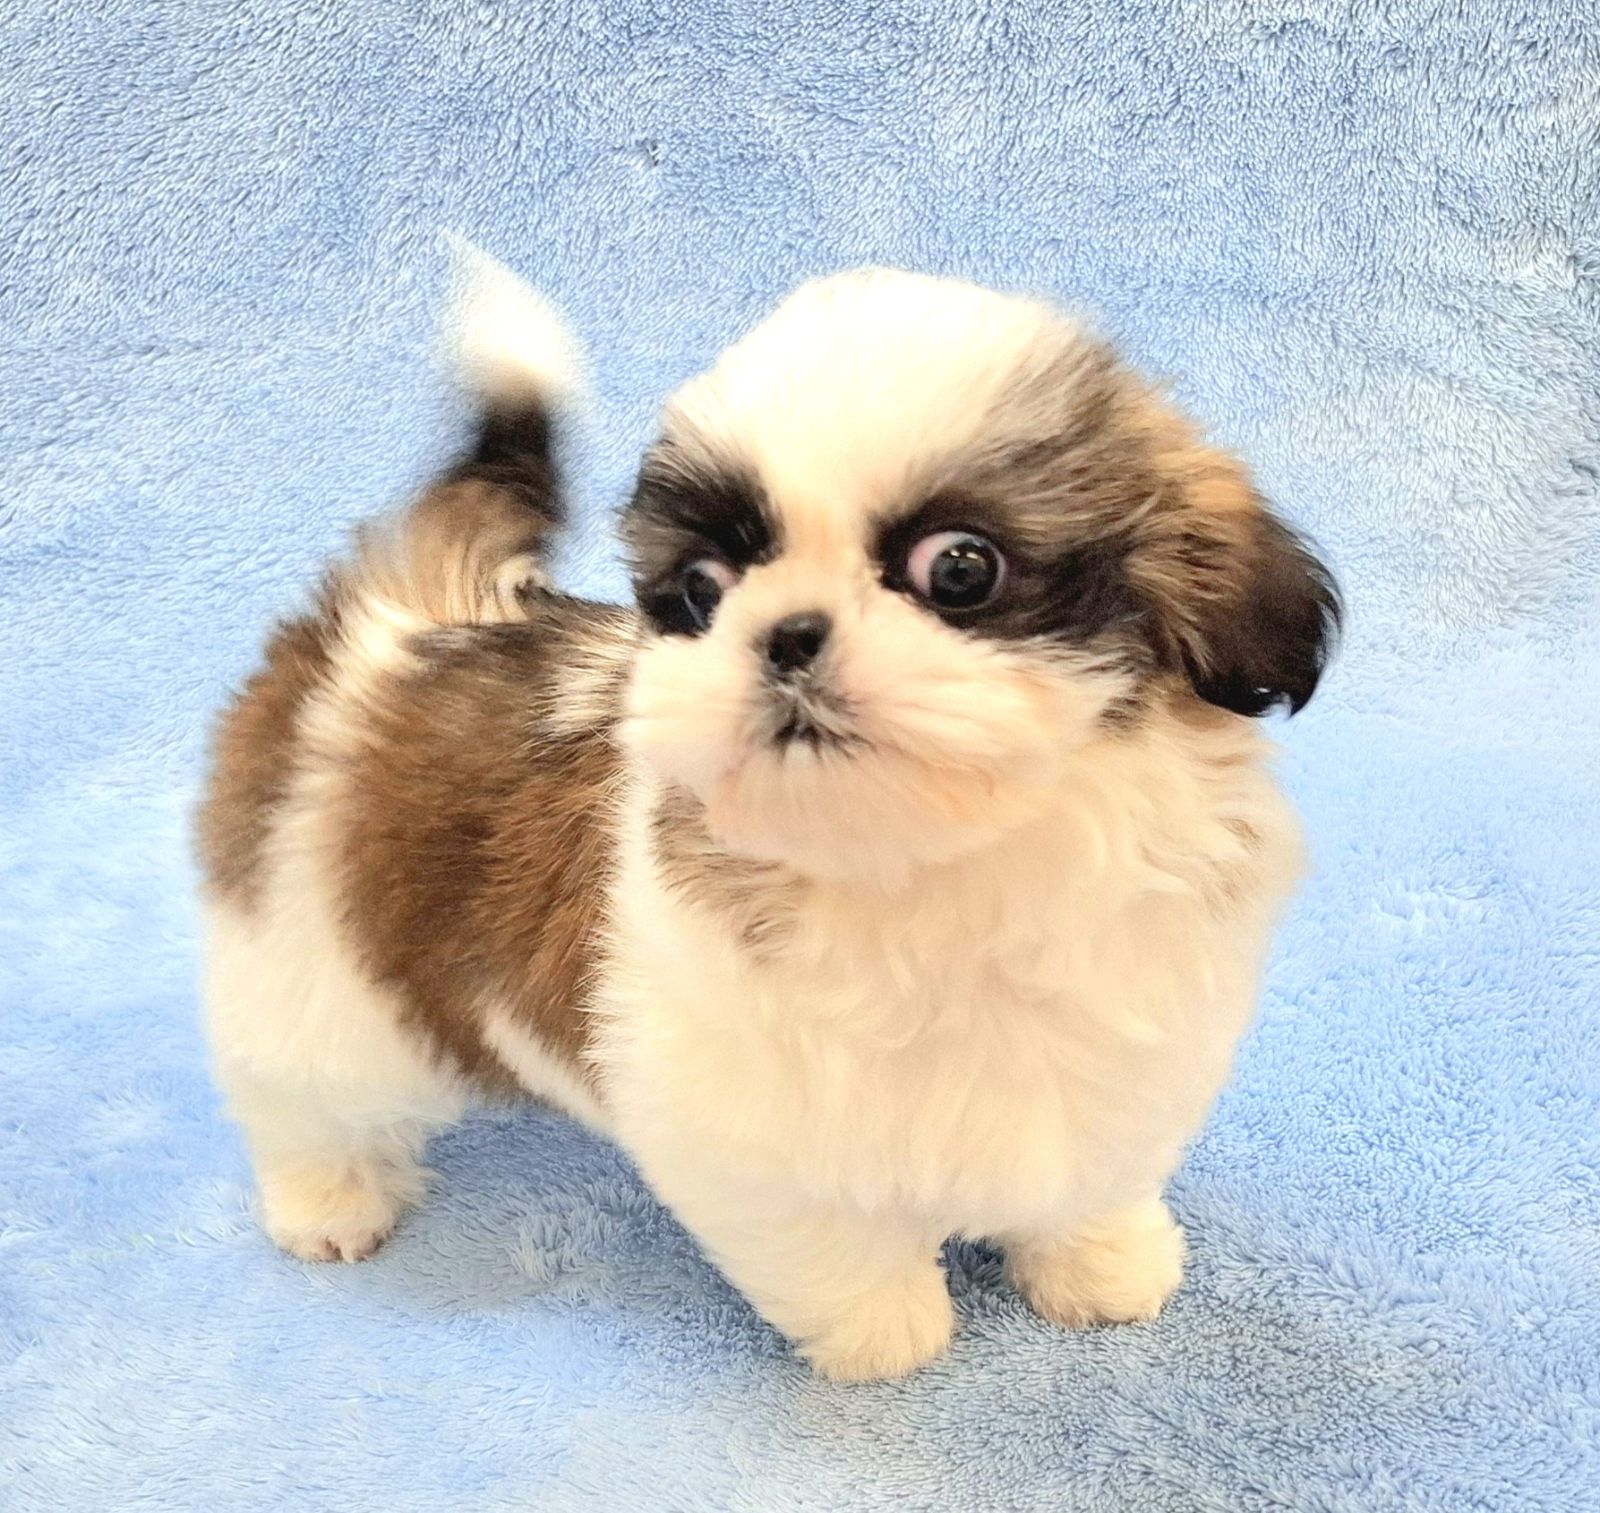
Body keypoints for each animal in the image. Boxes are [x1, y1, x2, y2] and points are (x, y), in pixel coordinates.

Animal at [198, 246, 1338, 1381]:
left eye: (960, 567)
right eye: (701, 592)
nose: (784, 631)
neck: (935, 861)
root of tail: (404, 615)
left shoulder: (1129, 1032)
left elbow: (1088, 1168)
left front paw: (1100, 1266)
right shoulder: (741, 1118)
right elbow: (830, 1239)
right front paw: (885, 1334)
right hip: (309, 953)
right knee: (299, 1088)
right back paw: (329, 1199)